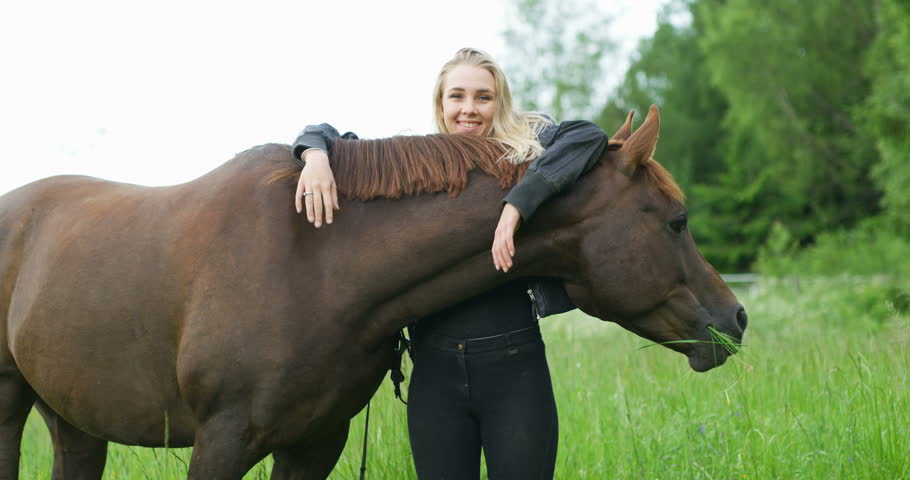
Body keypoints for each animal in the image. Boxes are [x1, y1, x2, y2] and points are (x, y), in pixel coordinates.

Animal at [1, 107, 748, 478]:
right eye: (676, 221)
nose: (735, 319)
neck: (318, 266)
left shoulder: (314, 444)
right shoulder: (222, 441)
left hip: (73, 419)